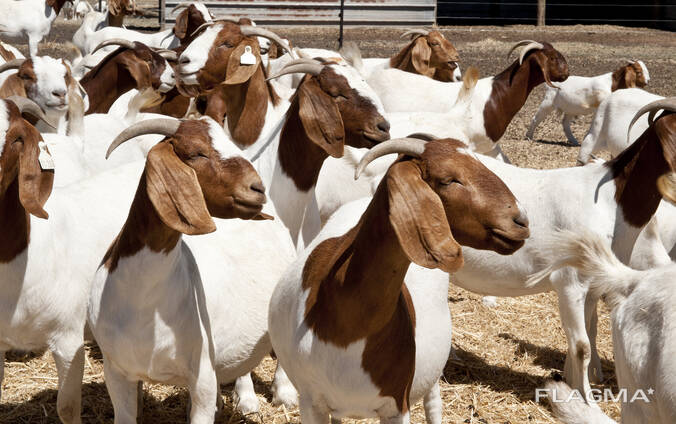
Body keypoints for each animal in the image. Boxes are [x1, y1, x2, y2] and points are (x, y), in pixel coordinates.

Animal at [95, 117, 300, 415]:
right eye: (197, 153)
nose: (257, 189)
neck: (143, 299)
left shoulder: (201, 376)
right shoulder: (116, 372)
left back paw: (283, 394)